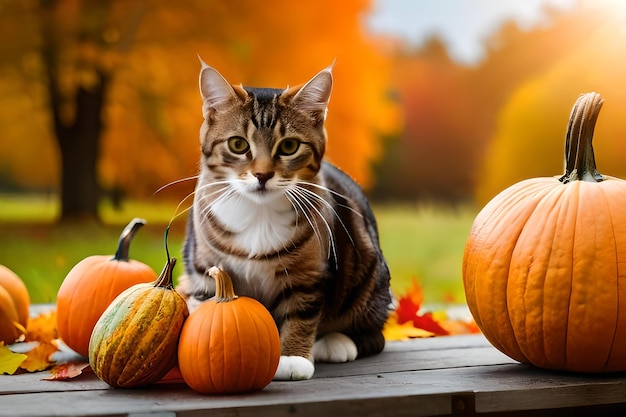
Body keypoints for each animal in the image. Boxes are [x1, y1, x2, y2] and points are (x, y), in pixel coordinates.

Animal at [177, 60, 390, 378]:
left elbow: (301, 310)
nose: (262, 174)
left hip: (367, 272)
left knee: (374, 331)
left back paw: (337, 342)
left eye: (289, 146)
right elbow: (208, 303)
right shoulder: (204, 268)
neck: (258, 212)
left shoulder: (309, 272)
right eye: (238, 144)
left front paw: (292, 357)